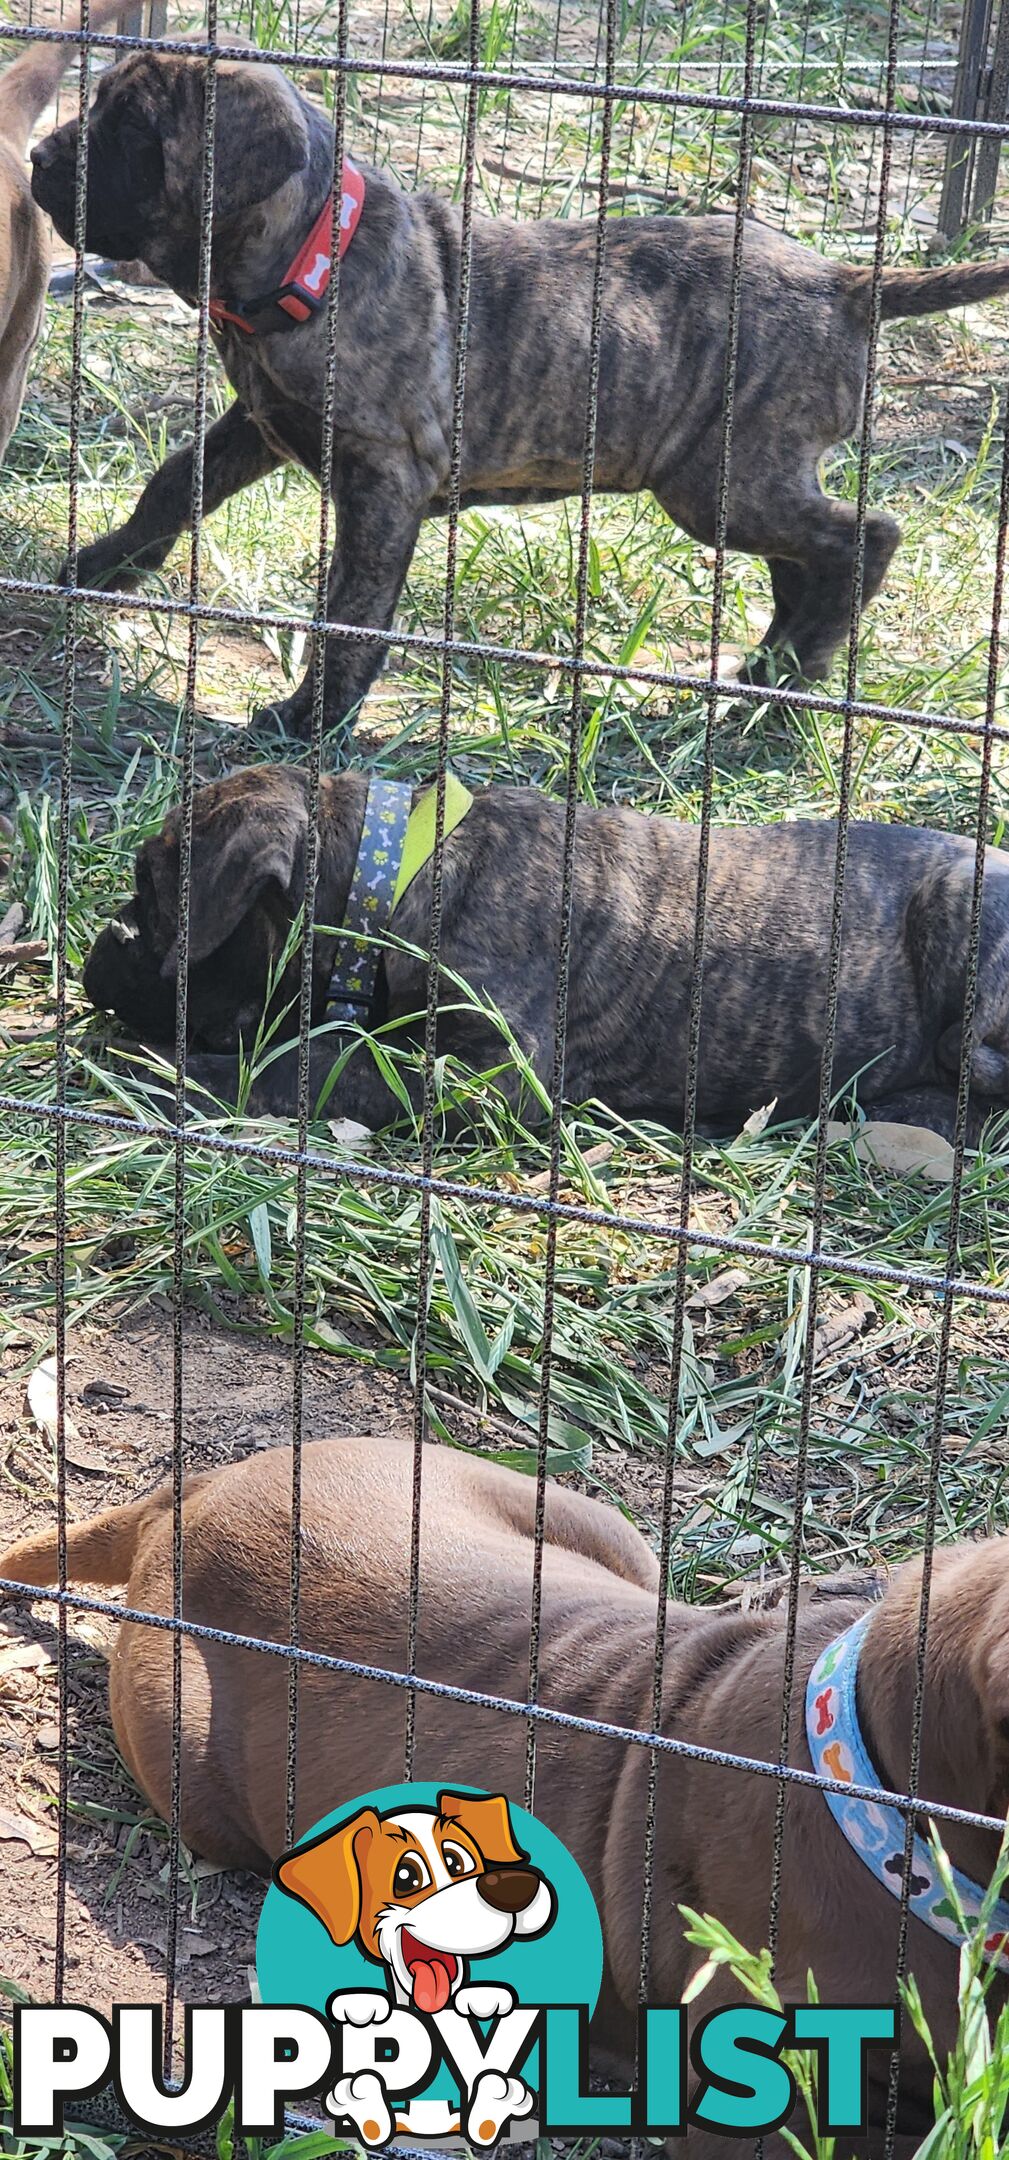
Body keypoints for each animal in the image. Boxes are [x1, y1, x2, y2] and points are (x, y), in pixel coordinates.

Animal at [29, 50, 1009, 738]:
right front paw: (104, 565)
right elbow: (173, 482)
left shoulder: (382, 479)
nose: (37, 156)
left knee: (864, 535)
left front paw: (307, 722)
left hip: (720, 480)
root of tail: (845, 280)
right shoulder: (261, 423)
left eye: (127, 130)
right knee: (803, 562)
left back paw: (792, 684)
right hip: (743, 481)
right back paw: (775, 671)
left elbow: (350, 611)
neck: (310, 253)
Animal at [83, 764, 1009, 1140]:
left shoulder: (497, 1071)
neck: (402, 867)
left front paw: (165, 1073)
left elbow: (310, 1065)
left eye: (153, 897)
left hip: (962, 911)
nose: (102, 945)